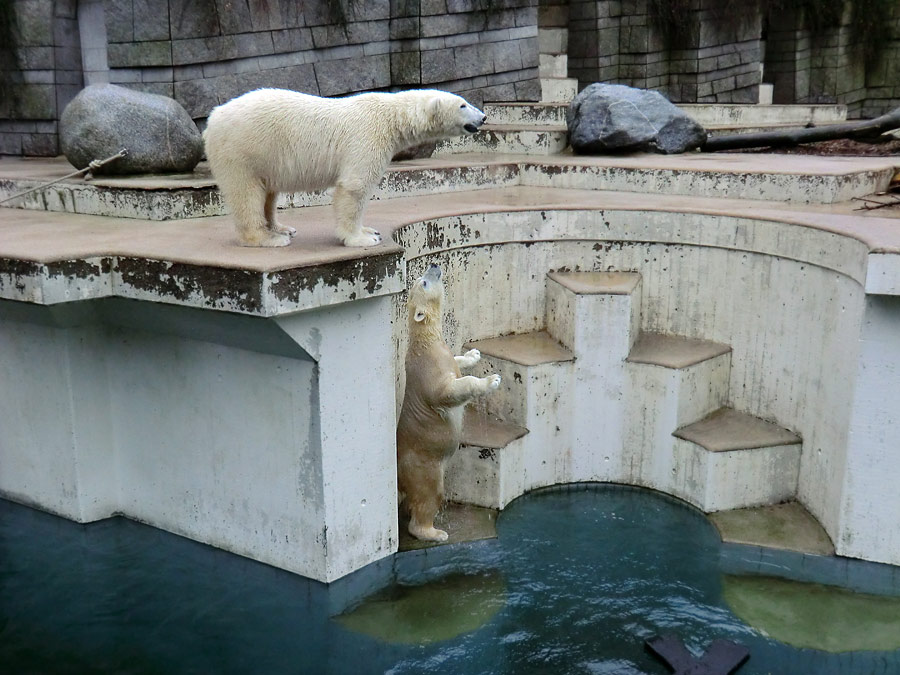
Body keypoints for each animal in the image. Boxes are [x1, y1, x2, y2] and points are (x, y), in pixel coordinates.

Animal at [201, 88, 488, 248]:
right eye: (462, 104)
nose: (484, 117)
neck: (391, 117)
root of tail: (212, 119)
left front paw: (370, 230)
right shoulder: (367, 137)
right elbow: (355, 187)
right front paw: (361, 239)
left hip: (264, 157)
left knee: (268, 193)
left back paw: (281, 228)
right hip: (242, 150)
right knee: (246, 194)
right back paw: (268, 239)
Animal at [398, 266, 502, 544]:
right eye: (423, 282)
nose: (434, 266)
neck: (425, 342)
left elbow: (457, 362)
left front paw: (472, 355)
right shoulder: (431, 371)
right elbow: (449, 390)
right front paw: (491, 380)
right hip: (422, 466)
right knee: (428, 495)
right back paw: (435, 532)